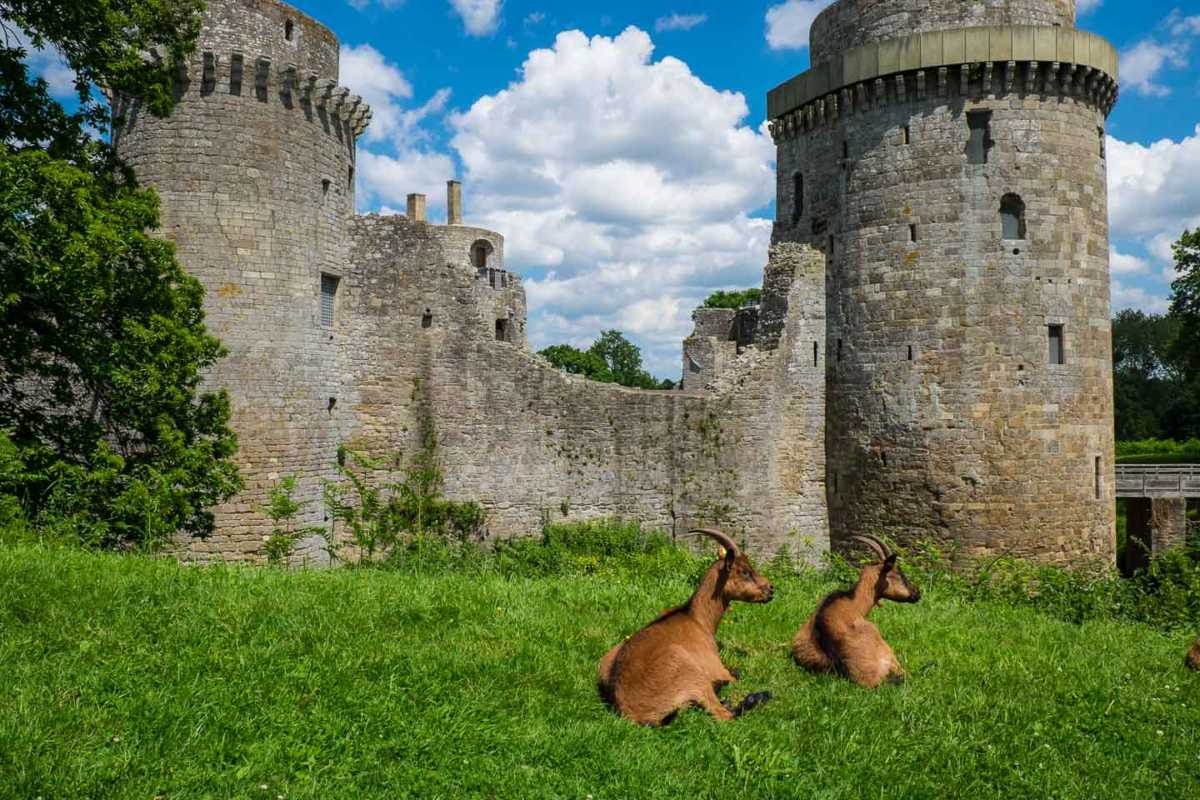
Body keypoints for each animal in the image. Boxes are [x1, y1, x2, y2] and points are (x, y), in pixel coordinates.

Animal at [595, 527, 772, 729]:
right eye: (744, 572)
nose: (771, 589)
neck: (696, 619)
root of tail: (634, 715)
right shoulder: (717, 667)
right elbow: (736, 675)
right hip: (691, 674)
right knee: (724, 714)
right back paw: (759, 696)